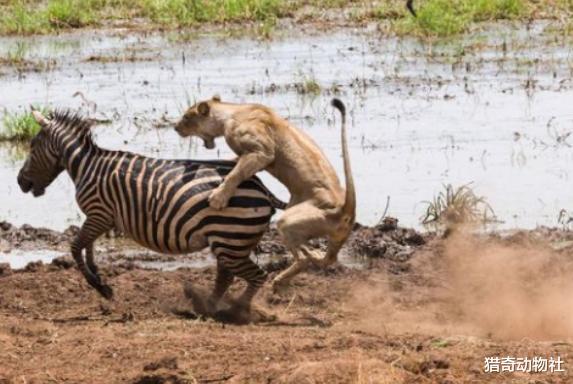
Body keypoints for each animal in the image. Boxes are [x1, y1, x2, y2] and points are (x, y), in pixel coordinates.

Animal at [16, 109, 286, 314]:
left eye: (32, 146)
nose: (20, 182)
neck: (86, 166)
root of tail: (262, 188)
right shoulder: (100, 218)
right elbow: (88, 247)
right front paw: (99, 276)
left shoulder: (99, 213)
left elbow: (75, 247)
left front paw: (101, 287)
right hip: (229, 242)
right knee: (227, 277)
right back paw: (208, 307)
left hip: (231, 240)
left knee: (257, 275)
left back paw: (235, 311)